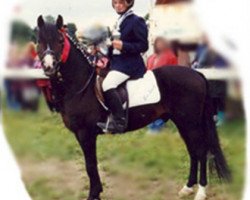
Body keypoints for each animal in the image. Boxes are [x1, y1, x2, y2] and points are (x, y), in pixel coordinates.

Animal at [36, 15, 231, 200]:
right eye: (39, 41)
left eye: (60, 41)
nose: (49, 66)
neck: (81, 85)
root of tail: (197, 74)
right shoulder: (82, 134)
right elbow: (91, 165)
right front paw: (96, 192)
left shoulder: (85, 134)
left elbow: (90, 165)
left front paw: (93, 194)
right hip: (182, 122)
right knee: (193, 151)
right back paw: (187, 188)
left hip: (190, 122)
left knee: (201, 151)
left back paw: (201, 192)